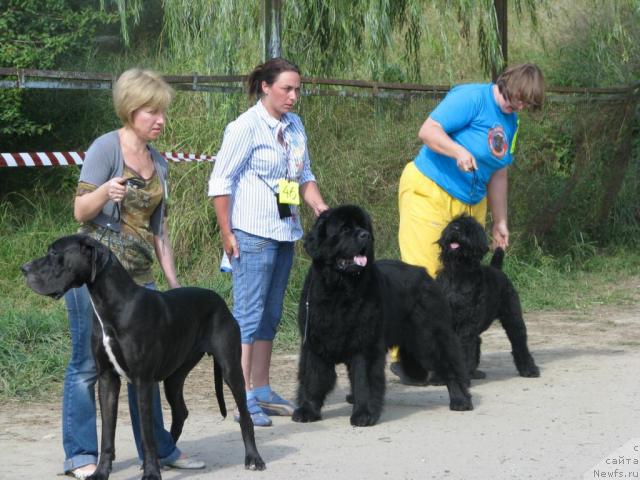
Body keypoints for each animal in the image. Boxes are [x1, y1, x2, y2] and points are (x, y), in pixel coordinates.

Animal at [292, 204, 472, 426]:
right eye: (344, 229)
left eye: (364, 227)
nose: (365, 236)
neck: (339, 290)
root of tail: (425, 274)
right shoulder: (314, 343)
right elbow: (312, 378)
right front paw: (307, 410)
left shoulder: (366, 344)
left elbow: (364, 381)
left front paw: (364, 414)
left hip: (430, 336)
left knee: (451, 365)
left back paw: (460, 399)